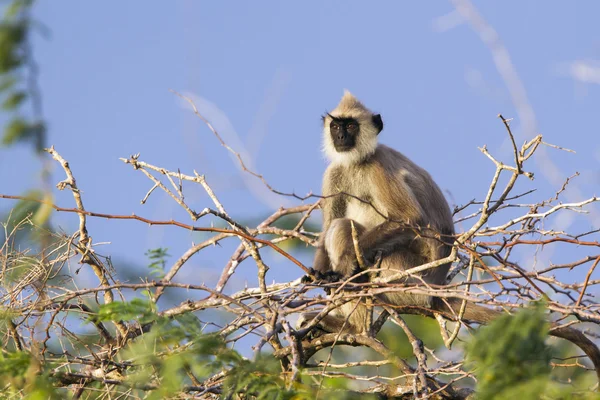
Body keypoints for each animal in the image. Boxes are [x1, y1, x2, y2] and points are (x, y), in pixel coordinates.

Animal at [298, 90, 600, 382]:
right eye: (336, 125)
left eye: (351, 125)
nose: (341, 136)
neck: (358, 162)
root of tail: (434, 288)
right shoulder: (335, 172)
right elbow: (326, 229)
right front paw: (319, 274)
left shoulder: (378, 166)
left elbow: (409, 219)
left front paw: (345, 265)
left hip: (402, 275)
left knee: (344, 228)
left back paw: (354, 325)